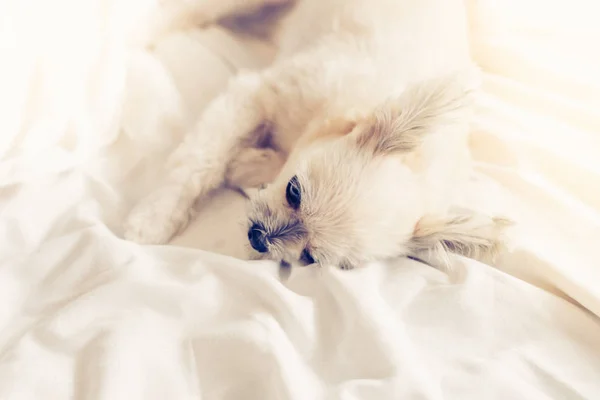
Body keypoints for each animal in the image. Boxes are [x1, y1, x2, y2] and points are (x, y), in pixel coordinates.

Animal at [124, 0, 508, 270]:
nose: (259, 238)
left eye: (309, 257)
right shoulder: (257, 93)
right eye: (294, 191)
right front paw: (153, 220)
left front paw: (250, 164)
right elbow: (199, 164)